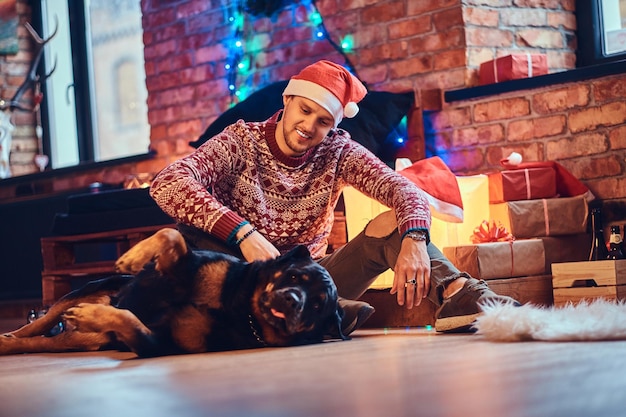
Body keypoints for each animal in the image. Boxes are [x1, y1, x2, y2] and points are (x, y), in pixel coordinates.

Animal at [0, 228, 346, 358]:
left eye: (317, 306)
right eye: (294, 275)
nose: (293, 300)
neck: (238, 307)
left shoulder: (158, 343)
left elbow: (129, 320)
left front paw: (99, 314)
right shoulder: (183, 267)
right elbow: (172, 236)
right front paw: (136, 255)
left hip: (83, 340)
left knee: (36, 343)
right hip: (88, 288)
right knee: (40, 323)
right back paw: (11, 335)